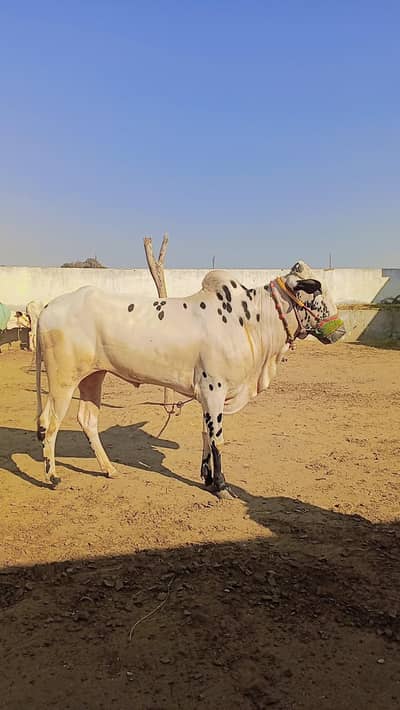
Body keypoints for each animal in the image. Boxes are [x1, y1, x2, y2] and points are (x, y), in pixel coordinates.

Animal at [36, 261, 345, 494]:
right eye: (317, 289)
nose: (340, 330)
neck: (250, 320)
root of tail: (48, 307)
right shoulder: (214, 389)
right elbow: (218, 439)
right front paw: (221, 485)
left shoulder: (206, 396)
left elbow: (206, 434)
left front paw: (207, 477)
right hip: (63, 379)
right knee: (51, 423)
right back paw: (52, 476)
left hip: (93, 376)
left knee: (87, 420)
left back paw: (109, 469)